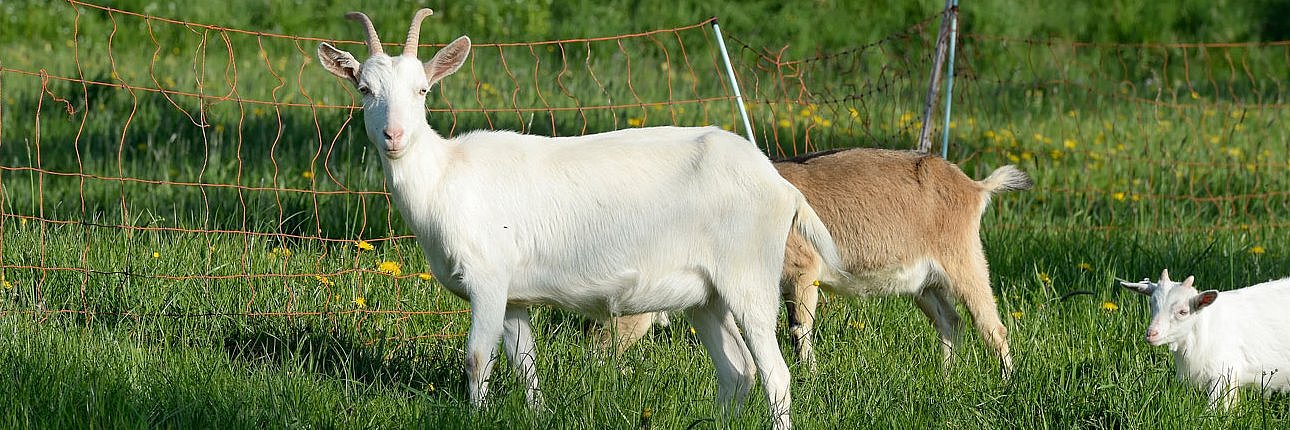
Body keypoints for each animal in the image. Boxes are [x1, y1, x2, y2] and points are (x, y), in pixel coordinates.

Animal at [310, 9, 835, 426]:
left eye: (422, 90)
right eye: (364, 88)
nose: (394, 135)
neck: (445, 176)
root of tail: (778, 184)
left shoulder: (488, 277)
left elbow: (477, 359)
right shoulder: (515, 295)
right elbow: (524, 364)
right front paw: (537, 410)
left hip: (748, 276)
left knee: (774, 373)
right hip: (706, 295)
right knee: (736, 371)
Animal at [608, 149, 1032, 377]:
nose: (600, 355)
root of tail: (974, 186)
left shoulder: (802, 271)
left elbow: (800, 327)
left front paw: (808, 374)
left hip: (964, 259)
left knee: (991, 324)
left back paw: (1007, 380)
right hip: (923, 281)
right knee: (950, 319)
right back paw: (945, 373)